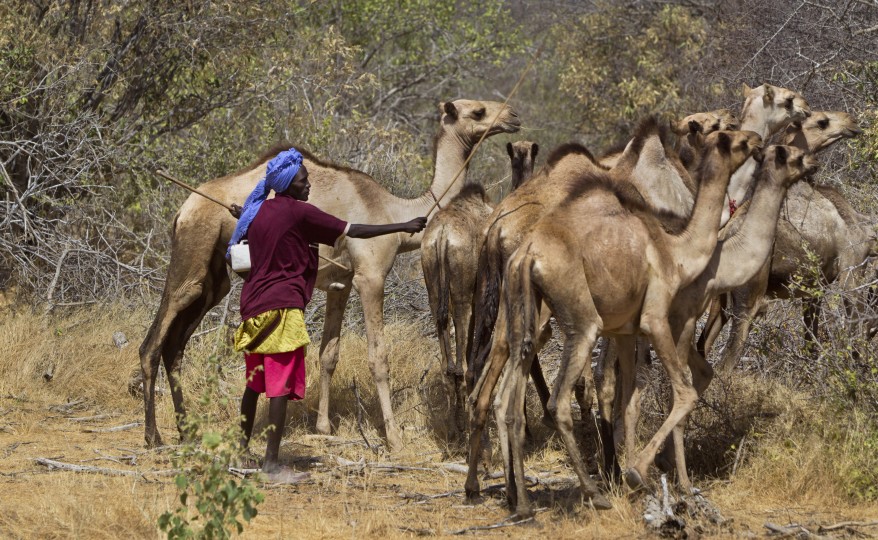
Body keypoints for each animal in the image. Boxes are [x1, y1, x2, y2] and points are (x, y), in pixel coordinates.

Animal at [140, 99, 520, 450]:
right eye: (478, 111)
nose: (513, 116)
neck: (392, 211)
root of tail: (183, 210)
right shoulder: (370, 275)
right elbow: (378, 357)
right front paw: (394, 438)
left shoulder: (342, 282)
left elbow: (328, 354)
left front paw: (323, 427)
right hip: (193, 248)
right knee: (155, 338)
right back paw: (153, 435)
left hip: (214, 276)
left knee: (177, 343)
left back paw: (188, 432)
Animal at [422, 141, 540, 440]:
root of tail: (442, 237)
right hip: (462, 290)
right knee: (462, 366)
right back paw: (467, 429)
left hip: (433, 284)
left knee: (448, 365)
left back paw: (454, 428)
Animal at [488, 129, 764, 516]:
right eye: (730, 139)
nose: (756, 139)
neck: (677, 250)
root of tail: (527, 254)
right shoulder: (655, 318)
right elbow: (682, 390)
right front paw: (636, 473)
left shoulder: (623, 330)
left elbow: (630, 395)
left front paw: (632, 473)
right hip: (582, 321)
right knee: (557, 402)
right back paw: (593, 492)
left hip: (524, 315)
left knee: (505, 398)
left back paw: (522, 501)